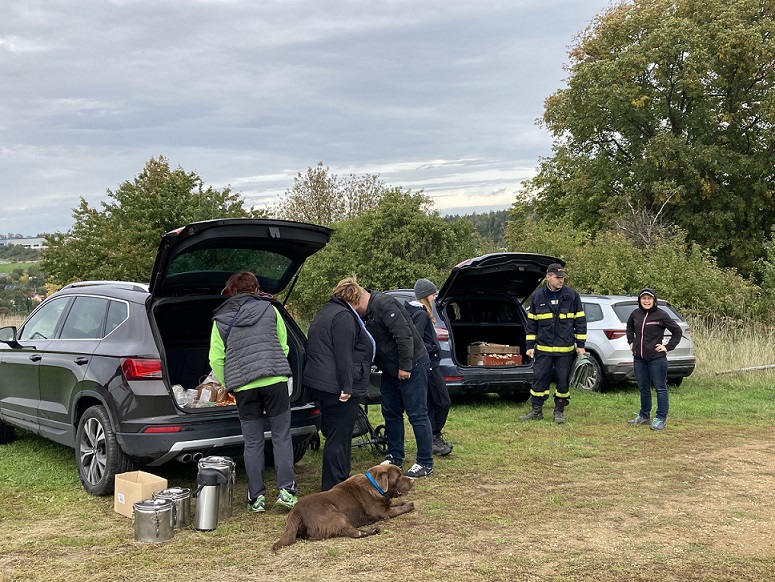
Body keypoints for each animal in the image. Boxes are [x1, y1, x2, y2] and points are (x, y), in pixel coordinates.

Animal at [274, 466, 416, 552]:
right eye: (398, 477)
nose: (412, 481)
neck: (375, 486)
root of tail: (296, 511)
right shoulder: (382, 512)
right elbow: (398, 509)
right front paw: (409, 505)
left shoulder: (385, 505)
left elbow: (394, 504)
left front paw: (402, 502)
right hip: (337, 515)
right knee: (354, 533)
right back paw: (373, 530)